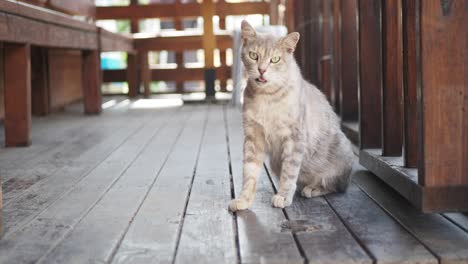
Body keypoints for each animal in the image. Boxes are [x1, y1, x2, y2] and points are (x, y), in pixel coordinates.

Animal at [229, 19, 352, 211]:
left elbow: (289, 172)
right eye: (253, 55)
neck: (267, 98)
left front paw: (283, 196)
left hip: (341, 153)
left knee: (336, 185)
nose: (262, 70)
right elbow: (249, 171)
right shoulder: (253, 136)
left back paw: (313, 188)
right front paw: (244, 199)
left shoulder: (295, 138)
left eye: (275, 59)